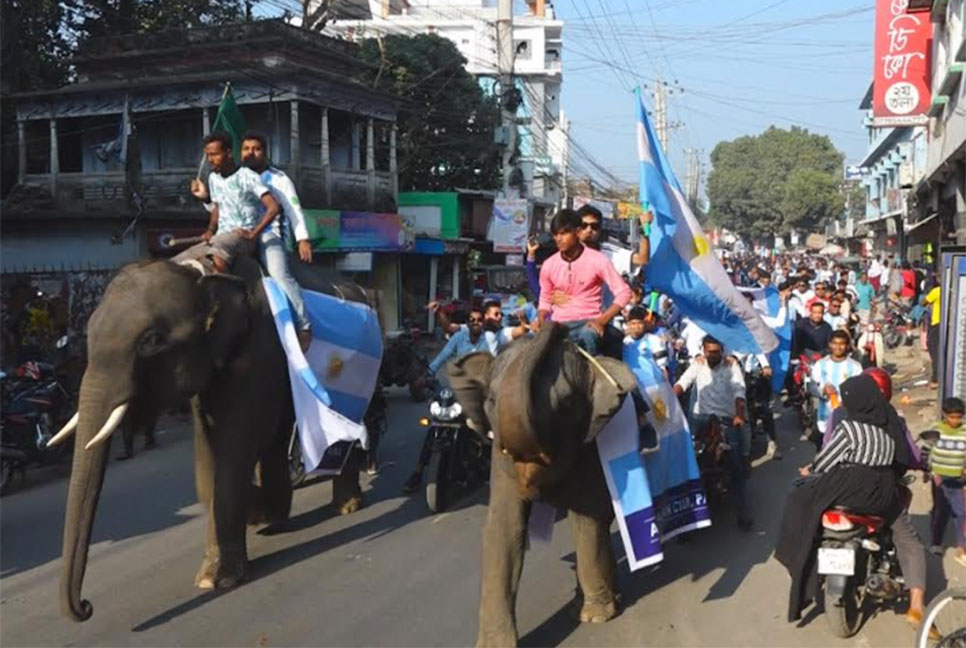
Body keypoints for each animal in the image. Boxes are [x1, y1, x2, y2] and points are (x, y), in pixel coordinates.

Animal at [52, 254, 370, 624]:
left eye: (152, 341)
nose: (86, 607)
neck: (199, 272)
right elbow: (209, 450)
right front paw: (252, 519)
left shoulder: (258, 350)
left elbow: (237, 443)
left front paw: (219, 579)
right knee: (277, 439)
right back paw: (277, 515)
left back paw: (346, 506)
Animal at [448, 324, 644, 648]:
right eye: (491, 401)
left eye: (567, 404)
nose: (557, 325)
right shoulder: (499, 457)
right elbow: (503, 527)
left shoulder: (591, 444)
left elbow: (588, 518)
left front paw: (596, 618)